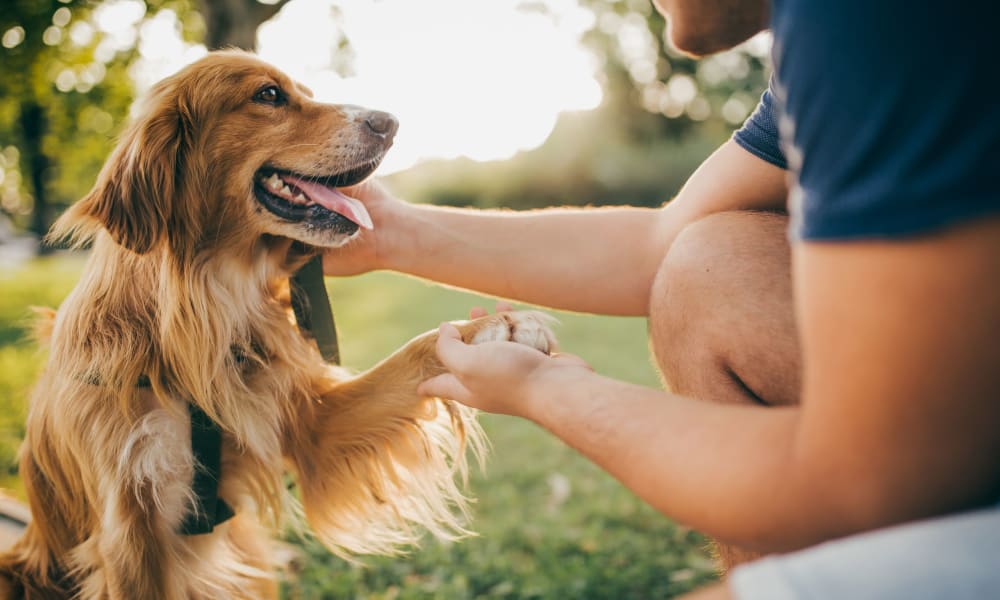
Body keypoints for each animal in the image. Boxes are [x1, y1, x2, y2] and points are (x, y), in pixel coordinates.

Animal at [0, 52, 556, 600]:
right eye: (268, 94)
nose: (391, 122)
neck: (202, 309)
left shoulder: (310, 424)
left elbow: (415, 352)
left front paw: (500, 328)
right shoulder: (129, 532)